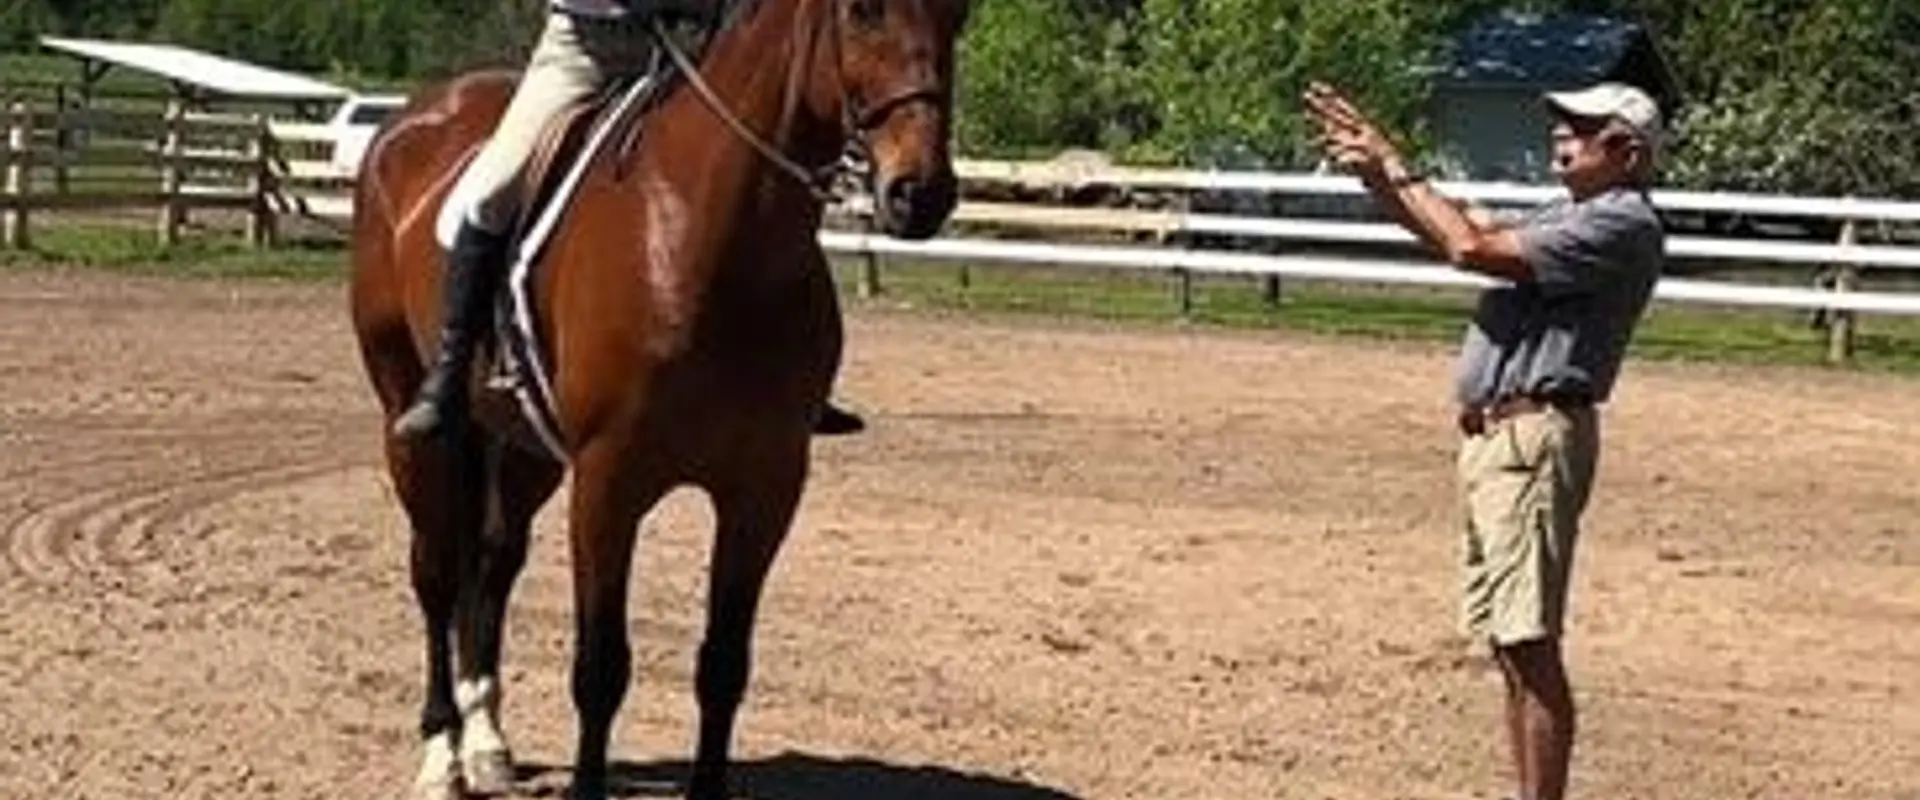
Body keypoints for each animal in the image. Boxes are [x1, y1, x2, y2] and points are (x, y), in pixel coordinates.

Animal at [346, 2, 972, 798]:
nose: (920, 194)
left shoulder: (764, 488)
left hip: (522, 447)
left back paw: (487, 740)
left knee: (492, 563)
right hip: (410, 422)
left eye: (958, 17)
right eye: (861, 13)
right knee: (434, 572)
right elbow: (600, 669)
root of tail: (410, 120)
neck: (710, 237)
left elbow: (724, 665)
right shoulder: (609, 484)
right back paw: (442, 755)